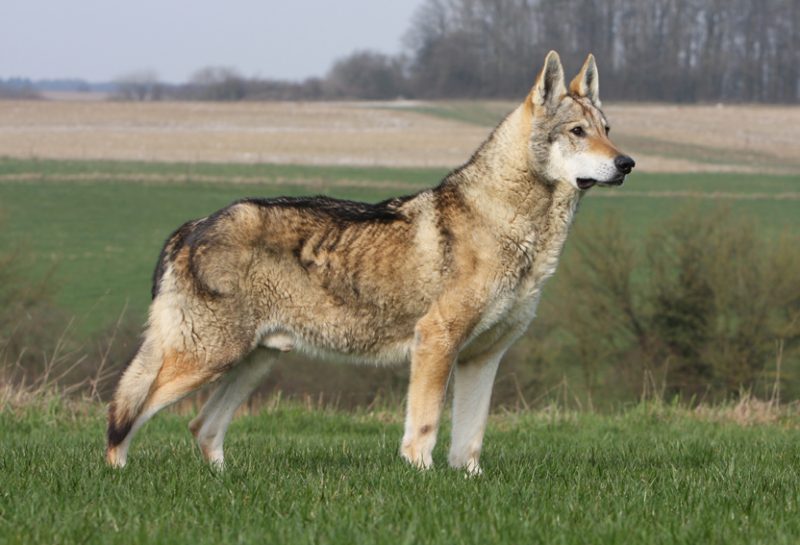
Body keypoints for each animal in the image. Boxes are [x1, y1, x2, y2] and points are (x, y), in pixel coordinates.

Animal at [106, 51, 634, 474]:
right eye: (578, 132)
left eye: (608, 131)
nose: (627, 163)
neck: (513, 227)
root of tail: (192, 225)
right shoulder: (435, 343)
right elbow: (424, 429)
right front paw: (422, 480)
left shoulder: (484, 358)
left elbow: (470, 442)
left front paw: (469, 482)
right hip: (205, 360)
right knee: (123, 417)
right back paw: (119, 478)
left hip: (255, 361)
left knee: (202, 426)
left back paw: (225, 480)